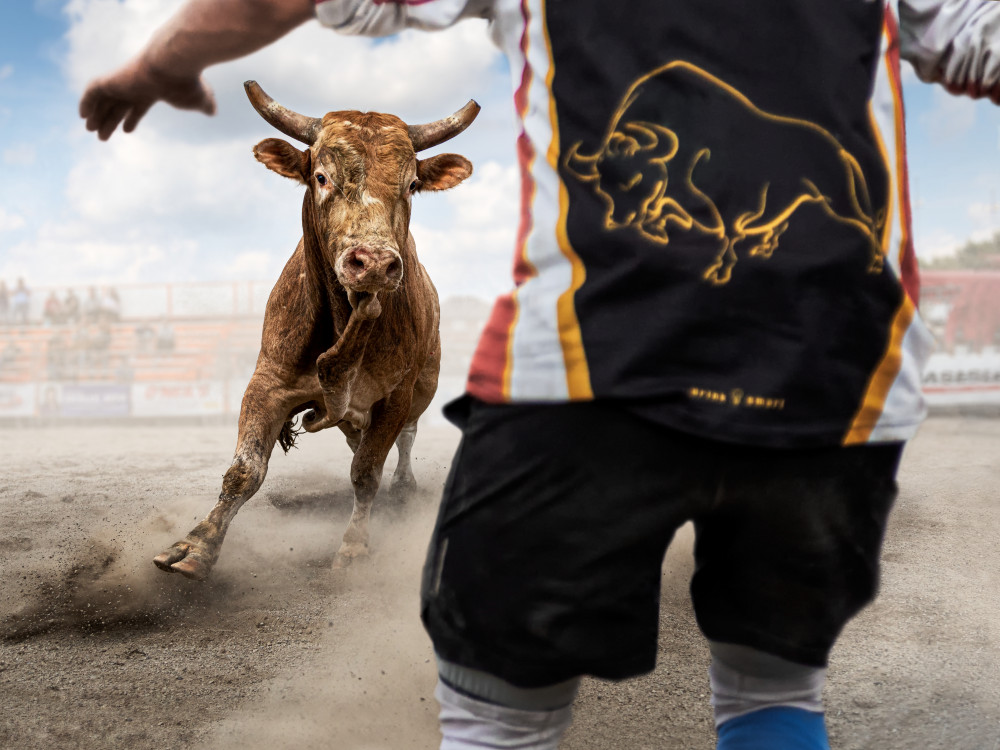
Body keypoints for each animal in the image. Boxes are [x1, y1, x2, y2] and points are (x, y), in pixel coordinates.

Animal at [152, 81, 478, 580]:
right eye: (321, 177)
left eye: (411, 185)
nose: (374, 263)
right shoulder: (268, 382)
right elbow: (244, 471)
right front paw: (195, 545)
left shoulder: (395, 395)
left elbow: (367, 472)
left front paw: (354, 547)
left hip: (424, 383)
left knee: (405, 437)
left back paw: (403, 487)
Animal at [564, 60, 887, 285]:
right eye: (602, 186)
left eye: (635, 180)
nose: (617, 220)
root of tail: (839, 150)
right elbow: (669, 212)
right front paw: (657, 227)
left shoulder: (733, 206)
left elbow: (729, 235)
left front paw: (718, 271)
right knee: (783, 220)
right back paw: (764, 248)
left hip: (838, 200)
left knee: (867, 222)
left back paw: (874, 263)